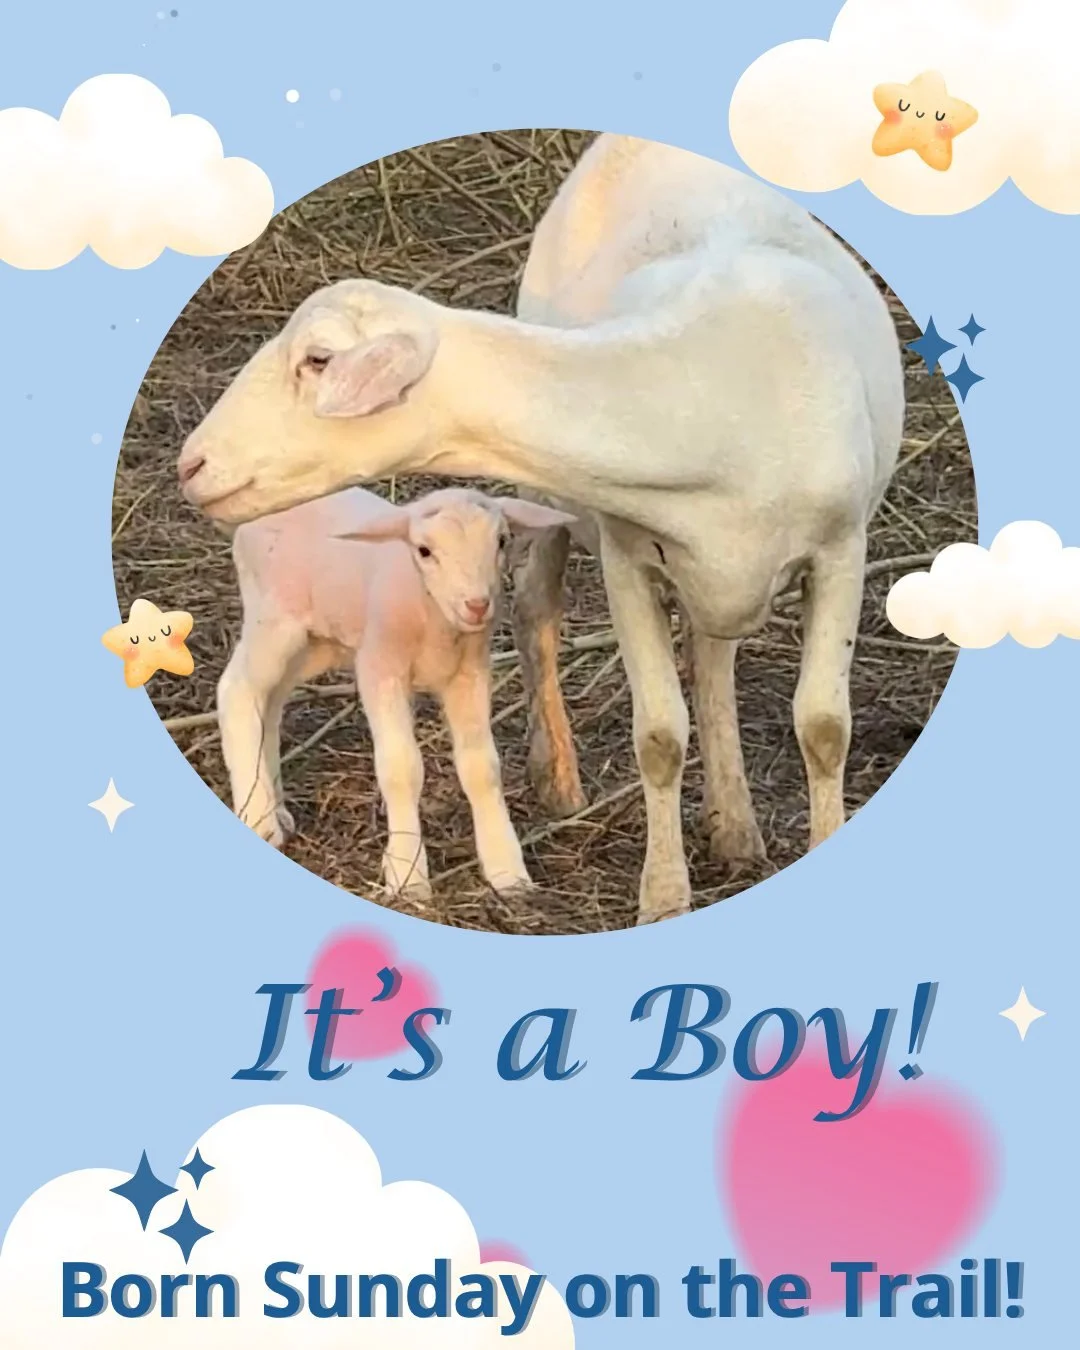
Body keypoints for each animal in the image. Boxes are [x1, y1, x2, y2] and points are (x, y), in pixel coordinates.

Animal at [217, 484, 575, 899]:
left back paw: (277, 810)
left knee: (270, 702)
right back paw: (259, 817)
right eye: (424, 550)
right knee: (237, 690)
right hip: (273, 617)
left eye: (502, 540)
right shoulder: (379, 666)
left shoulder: (469, 673)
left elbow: (481, 767)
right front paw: (407, 874)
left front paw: (507, 870)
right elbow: (402, 769)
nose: (477, 605)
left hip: (317, 640)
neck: (432, 614)